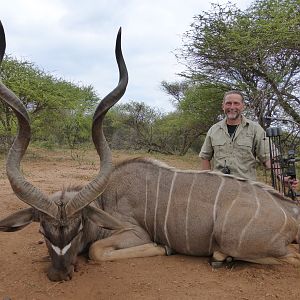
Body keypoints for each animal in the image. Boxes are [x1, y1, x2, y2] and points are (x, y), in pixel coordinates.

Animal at [1, 21, 300, 282]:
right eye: (42, 229)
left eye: (79, 227)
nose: (59, 274)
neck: (104, 201)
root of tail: (292, 213)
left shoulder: (133, 233)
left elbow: (97, 251)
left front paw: (163, 247)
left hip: (235, 241)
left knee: (289, 257)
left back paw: (220, 256)